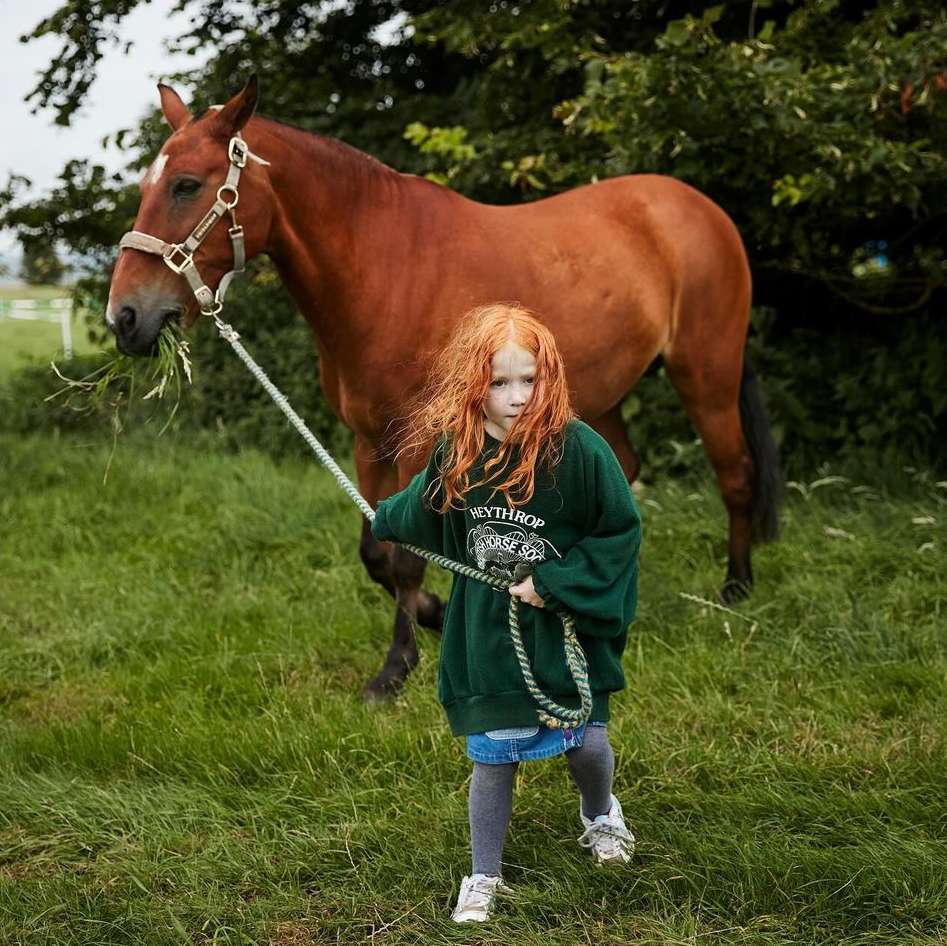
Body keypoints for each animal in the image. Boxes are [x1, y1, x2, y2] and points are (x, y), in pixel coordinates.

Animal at [107, 76, 782, 699]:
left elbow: (405, 554)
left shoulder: (416, 442)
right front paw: (434, 617)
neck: (381, 266)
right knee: (623, 473)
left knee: (735, 474)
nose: (125, 318)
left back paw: (734, 588)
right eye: (146, 187)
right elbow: (376, 550)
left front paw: (394, 671)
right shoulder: (368, 440)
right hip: (603, 394)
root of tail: (702, 209)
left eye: (186, 184)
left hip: (707, 373)